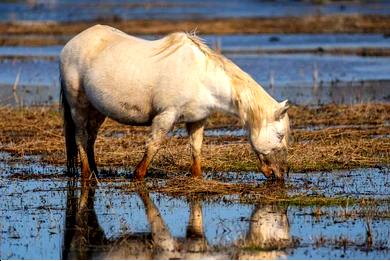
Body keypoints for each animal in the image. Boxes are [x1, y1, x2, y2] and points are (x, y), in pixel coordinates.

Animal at [60, 25, 290, 182]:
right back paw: (87, 173)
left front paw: (196, 177)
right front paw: (138, 175)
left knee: (90, 138)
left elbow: (196, 149)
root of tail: (70, 45)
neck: (201, 77)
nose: (280, 173)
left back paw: (95, 171)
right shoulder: (166, 116)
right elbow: (154, 145)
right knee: (81, 137)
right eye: (280, 135)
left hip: (97, 110)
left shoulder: (197, 120)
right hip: (78, 107)